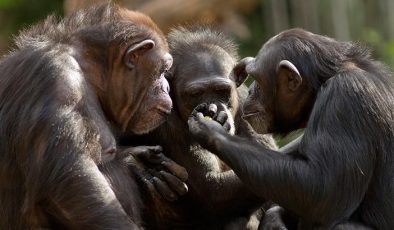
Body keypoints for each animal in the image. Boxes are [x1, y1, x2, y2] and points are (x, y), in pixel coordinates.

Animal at [0, 4, 188, 230]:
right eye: (163, 70)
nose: (166, 87)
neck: (90, 71)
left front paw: (139, 162)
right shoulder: (56, 80)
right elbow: (74, 183)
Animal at [121, 26, 278, 229]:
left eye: (221, 91)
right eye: (195, 93)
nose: (212, 108)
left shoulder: (248, 101)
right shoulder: (165, 123)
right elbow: (211, 189)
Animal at [189, 28, 394, 230]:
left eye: (257, 80)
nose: (251, 90)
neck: (322, 84)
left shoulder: (345, 97)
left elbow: (324, 188)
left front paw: (211, 129)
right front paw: (275, 219)